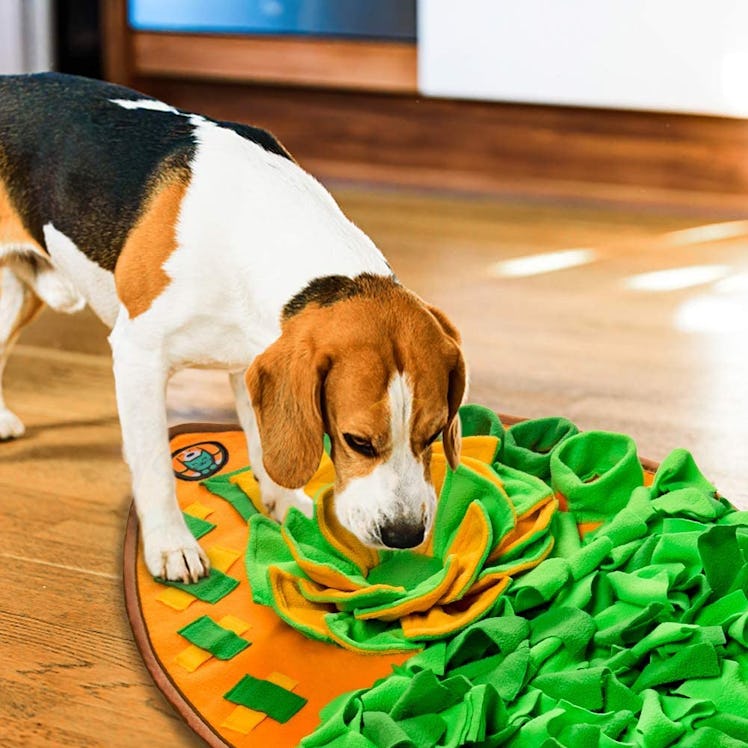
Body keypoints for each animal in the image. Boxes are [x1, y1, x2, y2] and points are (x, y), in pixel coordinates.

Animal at [0, 71, 464, 584]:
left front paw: (286, 506)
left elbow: (262, 444)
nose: (404, 534)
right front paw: (171, 545)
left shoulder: (254, 358)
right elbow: (155, 464)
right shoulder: (138, 355)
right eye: (356, 442)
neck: (263, 225)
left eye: (433, 434)